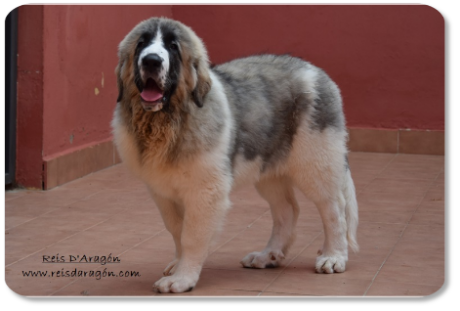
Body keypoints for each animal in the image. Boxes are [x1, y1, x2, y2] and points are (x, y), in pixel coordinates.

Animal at [111, 17, 360, 294]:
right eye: (141, 44)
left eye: (173, 46)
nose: (151, 61)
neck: (169, 122)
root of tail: (316, 71)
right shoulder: (162, 192)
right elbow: (176, 229)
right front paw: (178, 265)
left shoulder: (205, 192)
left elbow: (192, 236)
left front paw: (182, 278)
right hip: (267, 170)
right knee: (287, 210)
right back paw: (268, 255)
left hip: (316, 161)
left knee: (334, 209)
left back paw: (333, 256)